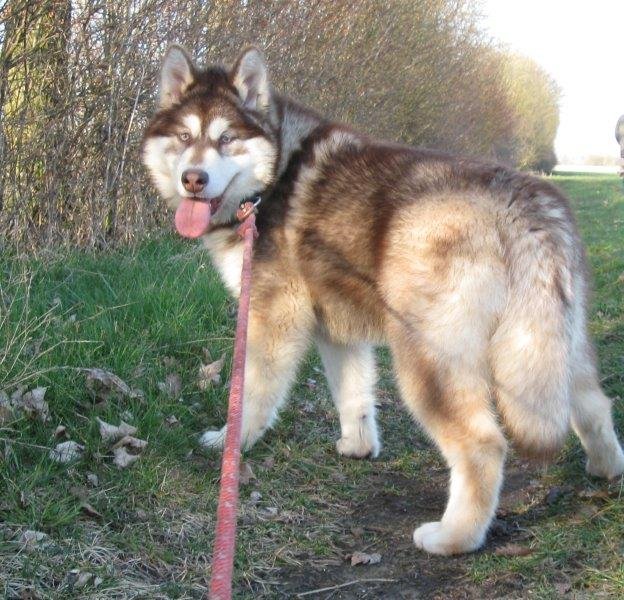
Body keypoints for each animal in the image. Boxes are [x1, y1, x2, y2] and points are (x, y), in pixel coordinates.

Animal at [142, 46, 624, 555]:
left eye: (227, 138)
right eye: (184, 136)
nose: (194, 179)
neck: (270, 179)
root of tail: (523, 204)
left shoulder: (273, 318)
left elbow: (251, 393)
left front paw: (230, 443)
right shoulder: (337, 329)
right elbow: (352, 393)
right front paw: (357, 445)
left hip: (429, 362)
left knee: (483, 445)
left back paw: (454, 536)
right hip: (556, 345)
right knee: (595, 404)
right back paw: (606, 469)